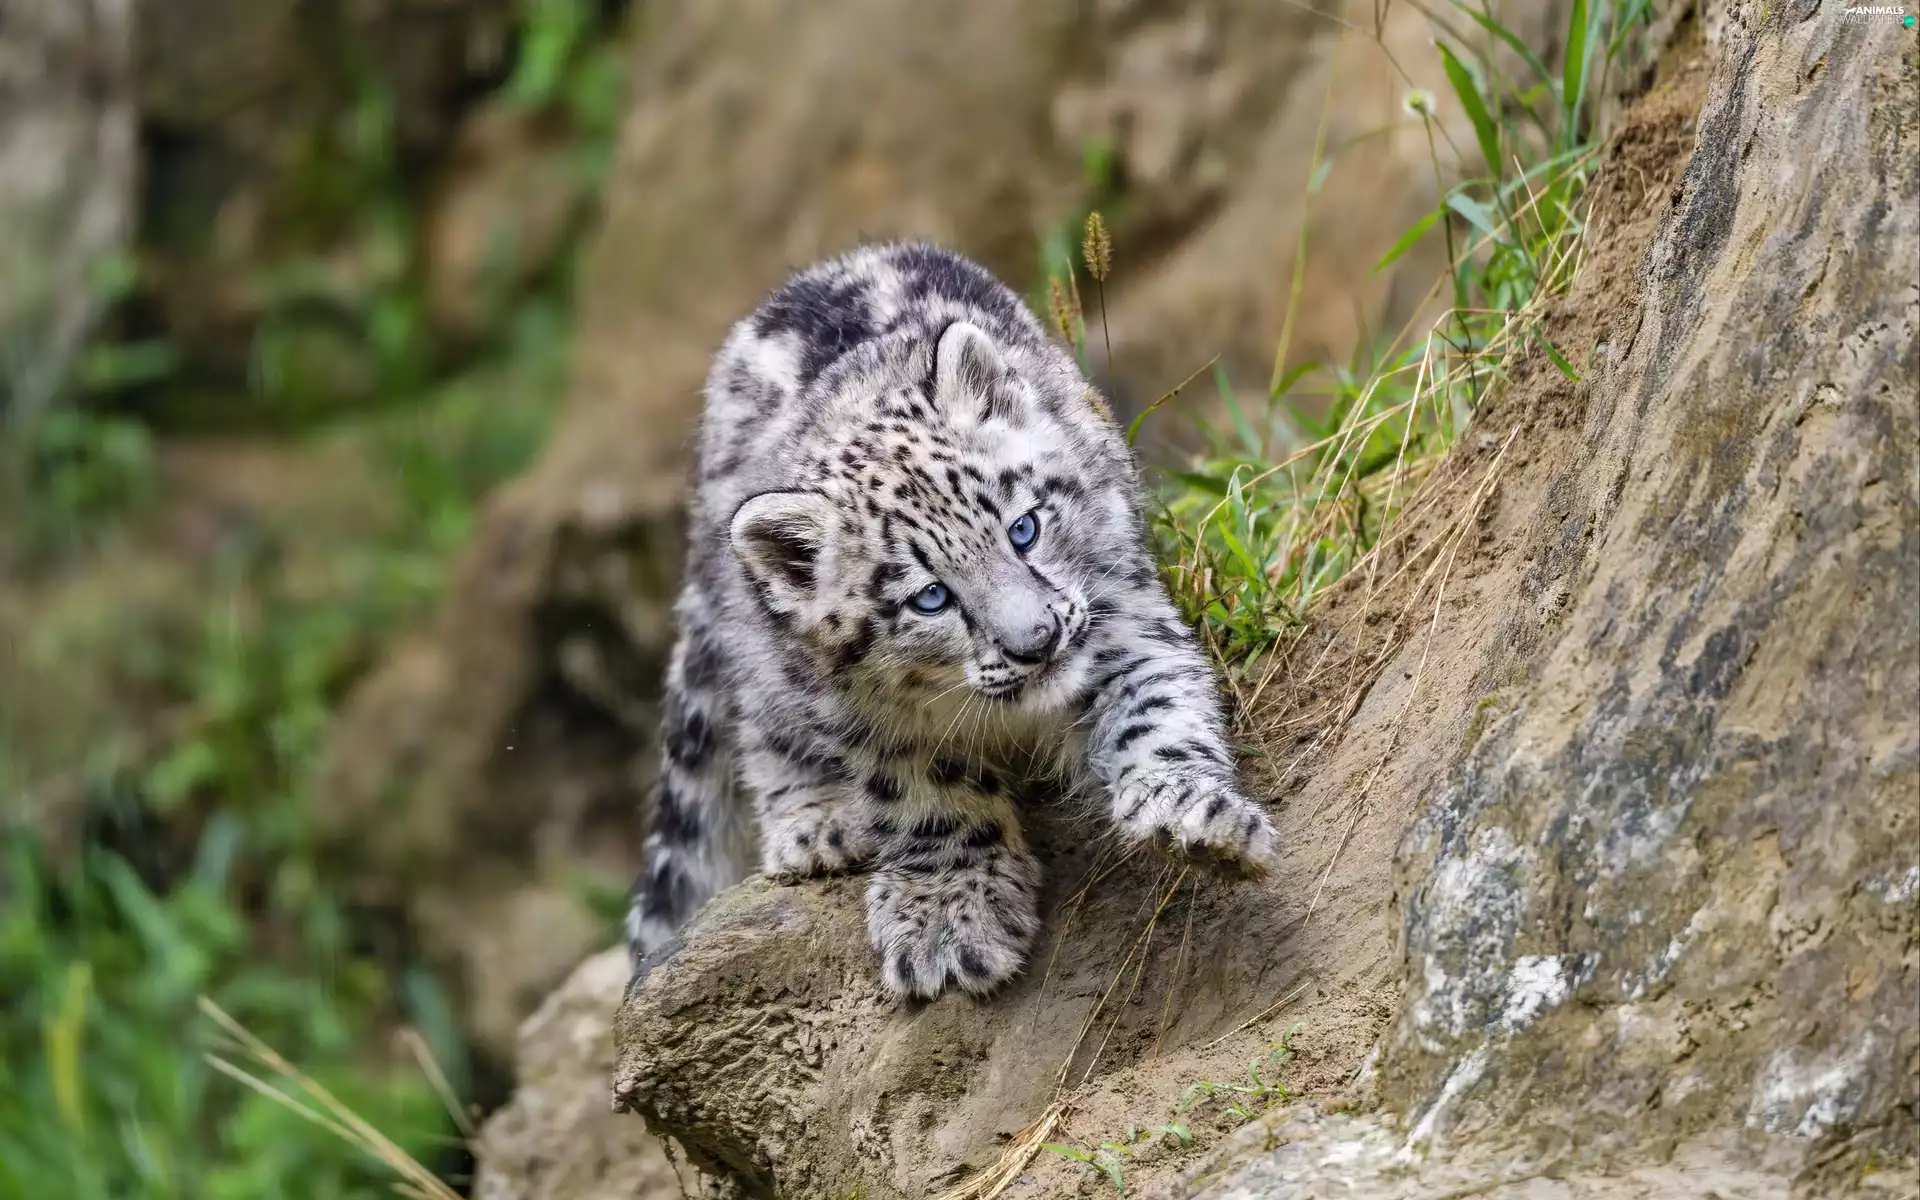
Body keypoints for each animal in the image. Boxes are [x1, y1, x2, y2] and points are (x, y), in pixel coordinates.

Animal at [625, 242, 1277, 1000]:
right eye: (930, 597)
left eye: (1024, 528)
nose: (1038, 641)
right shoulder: (878, 722)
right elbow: (928, 797)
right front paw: (950, 920)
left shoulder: (1122, 616)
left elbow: (1157, 711)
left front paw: (1195, 821)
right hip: (756, 641)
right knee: (764, 719)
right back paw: (817, 823)